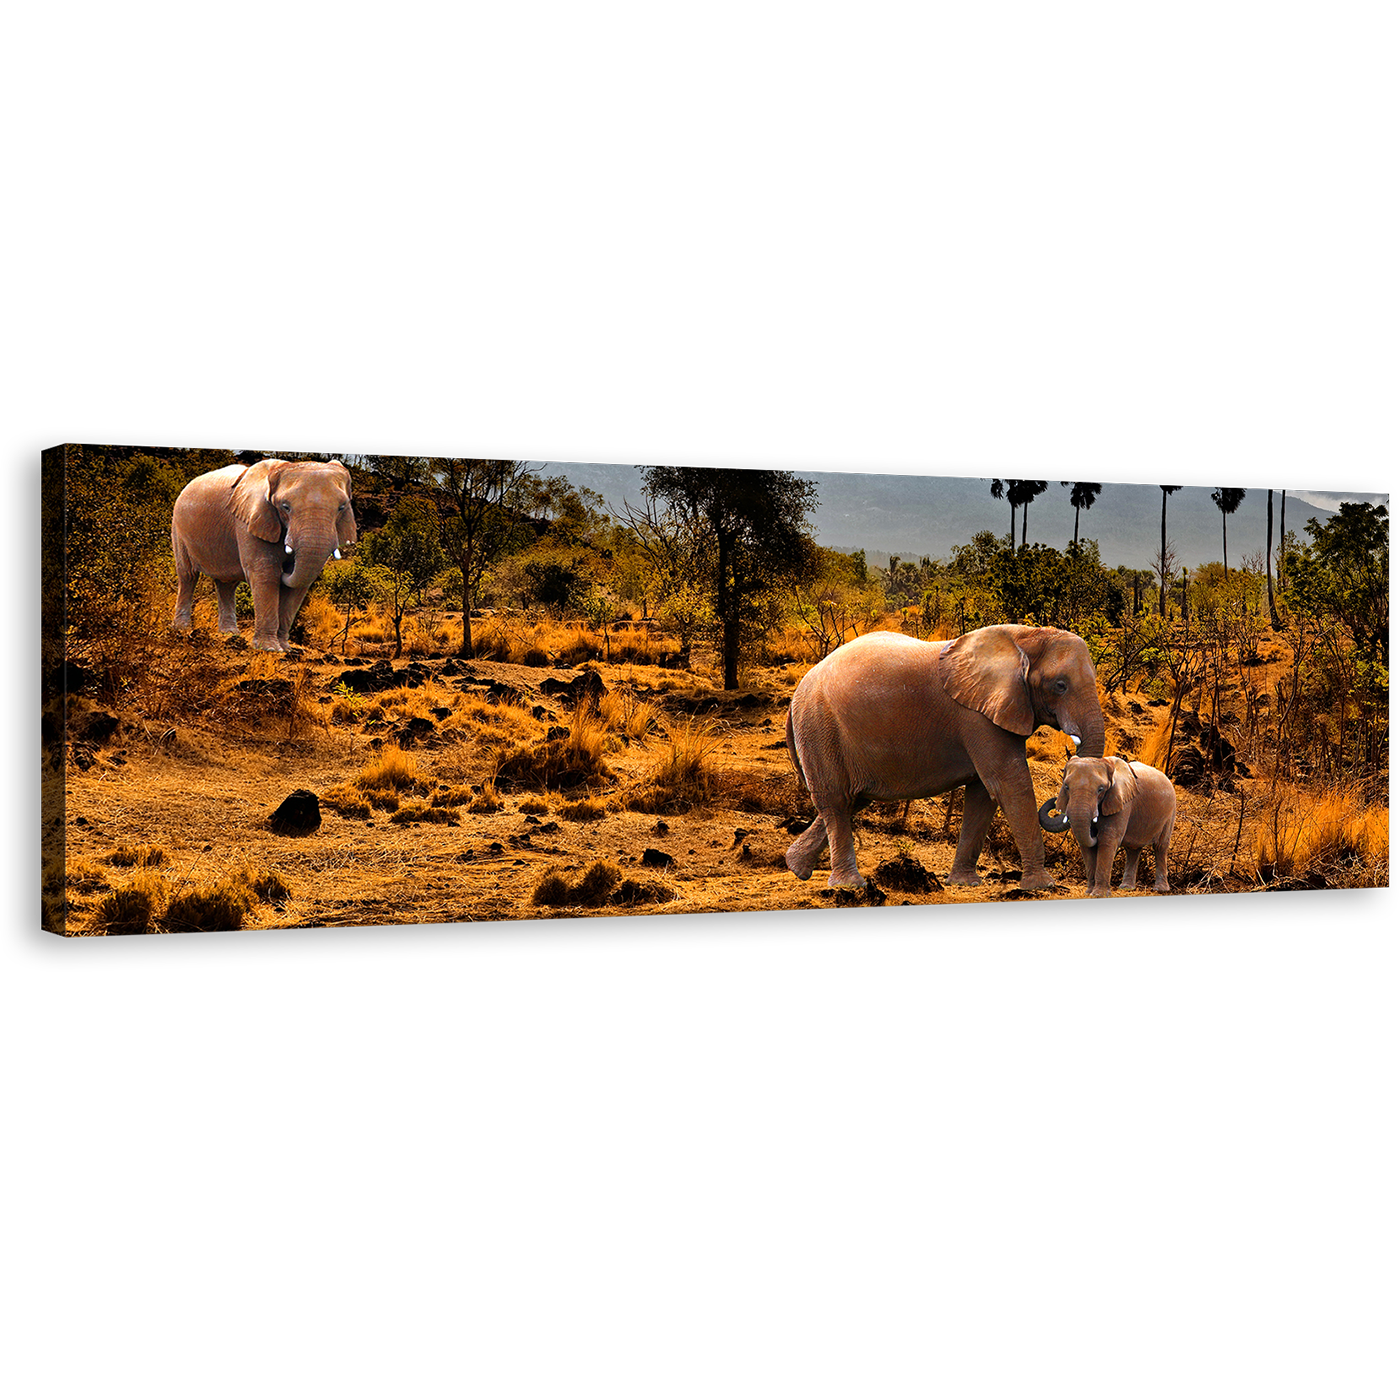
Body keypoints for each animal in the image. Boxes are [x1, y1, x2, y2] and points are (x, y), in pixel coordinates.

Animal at [170, 462, 355, 652]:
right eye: (285, 507)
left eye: (341, 507)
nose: (286, 569)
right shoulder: (249, 521)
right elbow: (266, 573)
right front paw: (269, 649)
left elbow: (298, 586)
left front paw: (285, 649)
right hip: (178, 527)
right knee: (188, 575)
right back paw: (182, 628)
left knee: (226, 584)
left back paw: (230, 633)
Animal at [789, 630, 1103, 890]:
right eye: (1060, 685)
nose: (1055, 805)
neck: (1026, 637)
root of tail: (798, 692)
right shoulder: (979, 717)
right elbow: (1010, 784)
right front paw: (1042, 886)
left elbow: (982, 795)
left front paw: (965, 883)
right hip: (819, 728)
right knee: (837, 801)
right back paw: (849, 885)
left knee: (852, 800)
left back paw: (796, 867)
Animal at [1036, 756, 1176, 896]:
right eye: (1066, 787)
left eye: (1101, 789)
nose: (1094, 832)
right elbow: (1086, 845)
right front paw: (1089, 893)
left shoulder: (1122, 802)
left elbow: (1107, 840)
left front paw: (1099, 894)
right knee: (1133, 849)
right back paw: (1126, 888)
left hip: (1170, 812)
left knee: (1160, 847)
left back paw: (1160, 889)